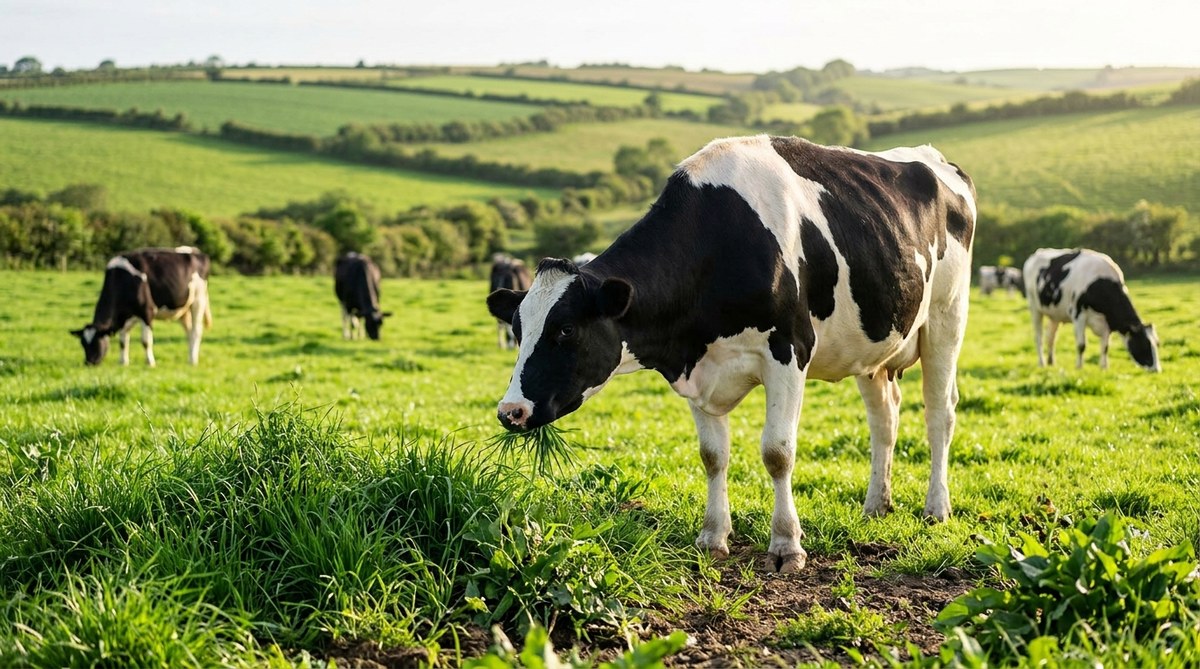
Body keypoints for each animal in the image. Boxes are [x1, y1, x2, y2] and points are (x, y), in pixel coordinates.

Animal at [70, 247, 212, 366]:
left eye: (97, 342)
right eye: (83, 343)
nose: (89, 362)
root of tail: (196, 251)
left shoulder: (147, 312)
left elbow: (145, 341)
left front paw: (150, 362)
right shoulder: (124, 317)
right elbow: (123, 342)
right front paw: (123, 362)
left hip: (198, 300)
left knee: (196, 331)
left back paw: (193, 361)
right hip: (183, 309)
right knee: (189, 332)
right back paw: (190, 357)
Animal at [487, 135, 976, 573]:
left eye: (566, 329)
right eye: (518, 328)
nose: (511, 411)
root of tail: (935, 158)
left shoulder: (790, 352)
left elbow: (777, 452)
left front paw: (786, 545)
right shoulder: (696, 370)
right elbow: (712, 456)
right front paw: (712, 536)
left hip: (946, 318)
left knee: (940, 413)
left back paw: (936, 508)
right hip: (875, 345)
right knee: (884, 418)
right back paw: (877, 503)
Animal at [1023, 248, 1160, 372]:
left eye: (1157, 344)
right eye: (1144, 344)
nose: (1157, 369)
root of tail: (1037, 253)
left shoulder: (1106, 322)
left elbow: (1105, 347)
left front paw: (1104, 368)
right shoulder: (1078, 314)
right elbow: (1081, 345)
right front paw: (1079, 367)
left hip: (1055, 314)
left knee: (1051, 337)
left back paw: (1051, 362)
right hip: (1034, 307)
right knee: (1039, 337)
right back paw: (1042, 363)